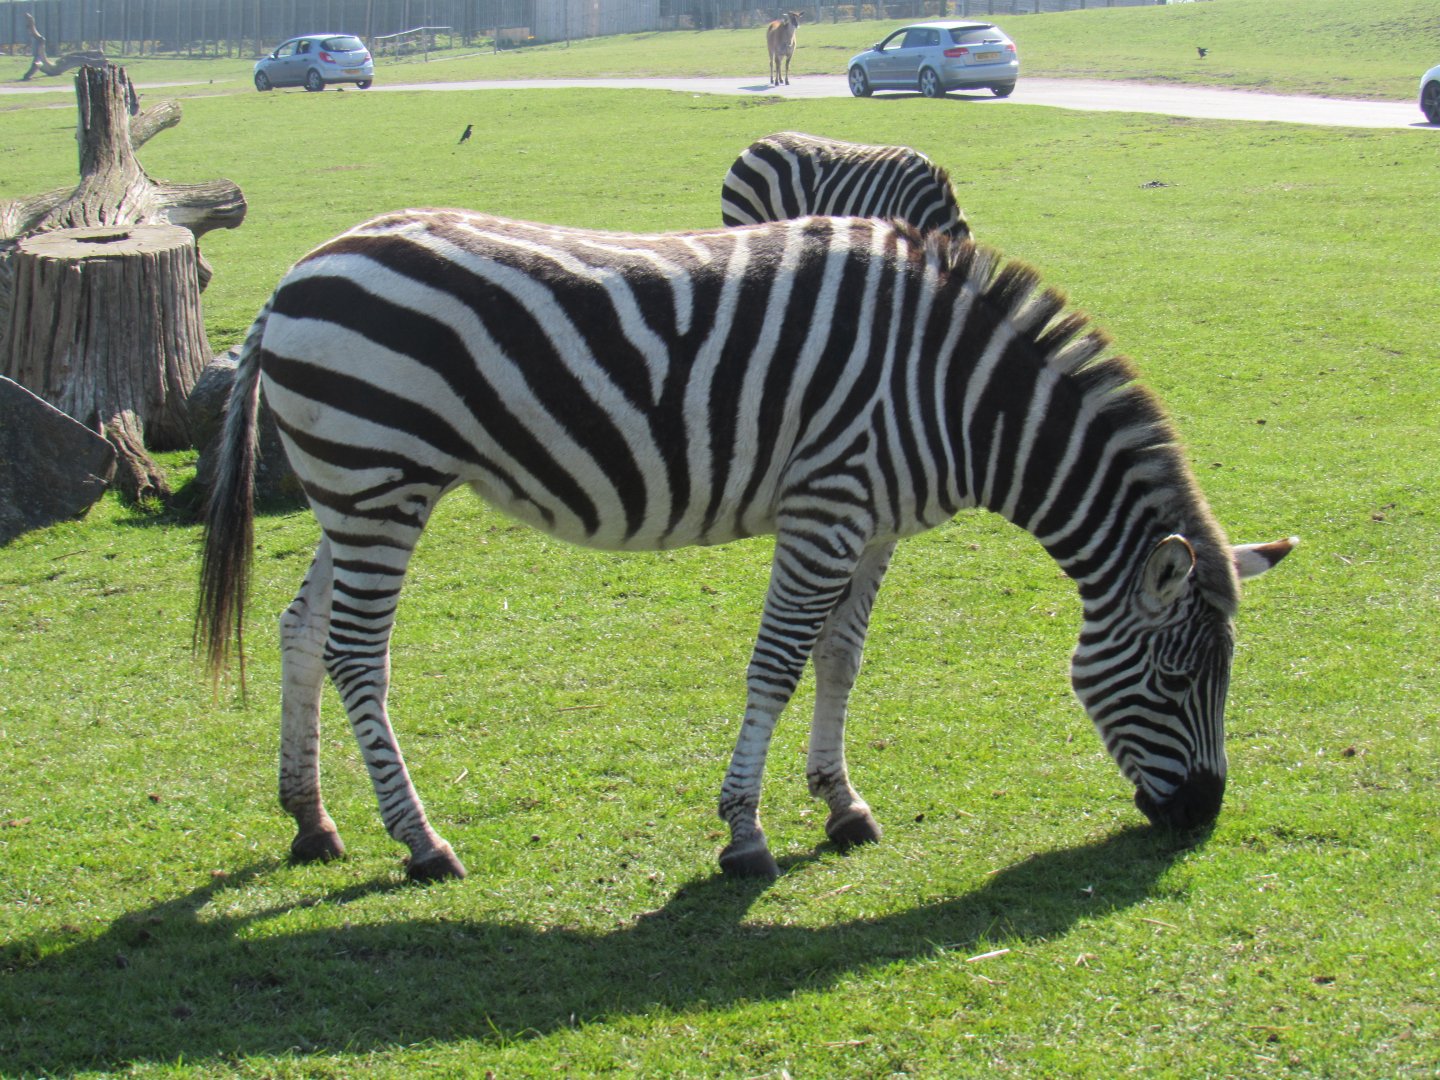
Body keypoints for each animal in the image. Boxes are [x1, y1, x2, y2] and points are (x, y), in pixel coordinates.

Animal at [197, 209, 1296, 883]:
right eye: (1174, 682)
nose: (1204, 817)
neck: (956, 392)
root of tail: (300, 270)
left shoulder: (874, 525)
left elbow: (841, 660)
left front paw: (842, 806)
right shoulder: (827, 508)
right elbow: (776, 665)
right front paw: (744, 833)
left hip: (357, 488)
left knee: (301, 631)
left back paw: (311, 820)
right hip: (378, 480)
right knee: (354, 652)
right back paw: (421, 842)